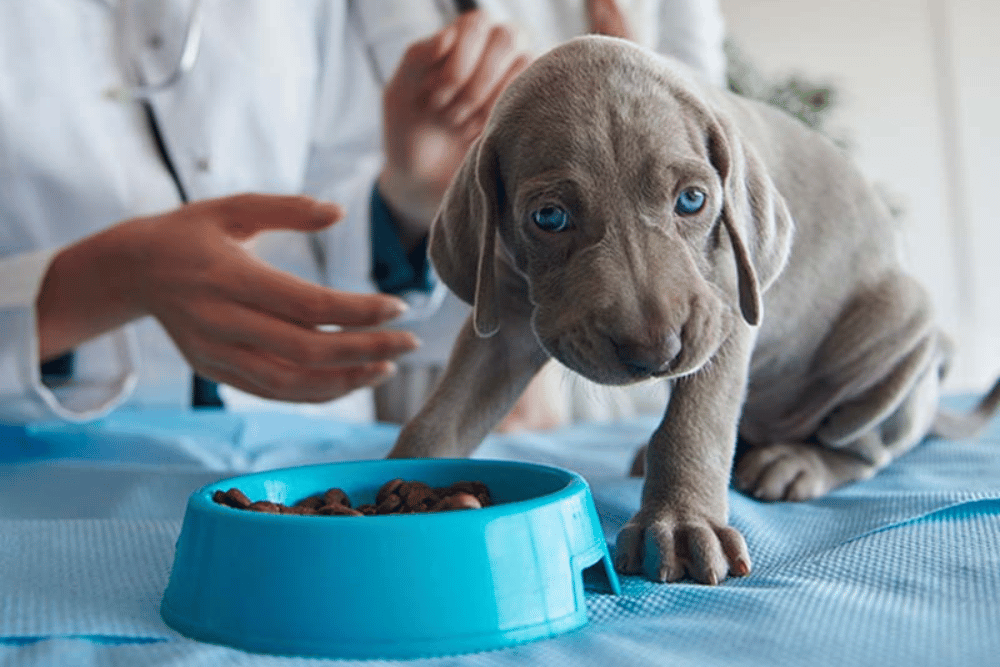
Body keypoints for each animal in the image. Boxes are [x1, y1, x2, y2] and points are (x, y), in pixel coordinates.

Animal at [388, 36, 1000, 584]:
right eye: (549, 217)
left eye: (692, 200)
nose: (656, 352)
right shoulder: (507, 320)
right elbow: (444, 414)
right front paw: (398, 480)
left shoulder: (725, 310)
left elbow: (695, 421)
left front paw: (682, 525)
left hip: (900, 332)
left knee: (866, 447)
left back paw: (797, 462)